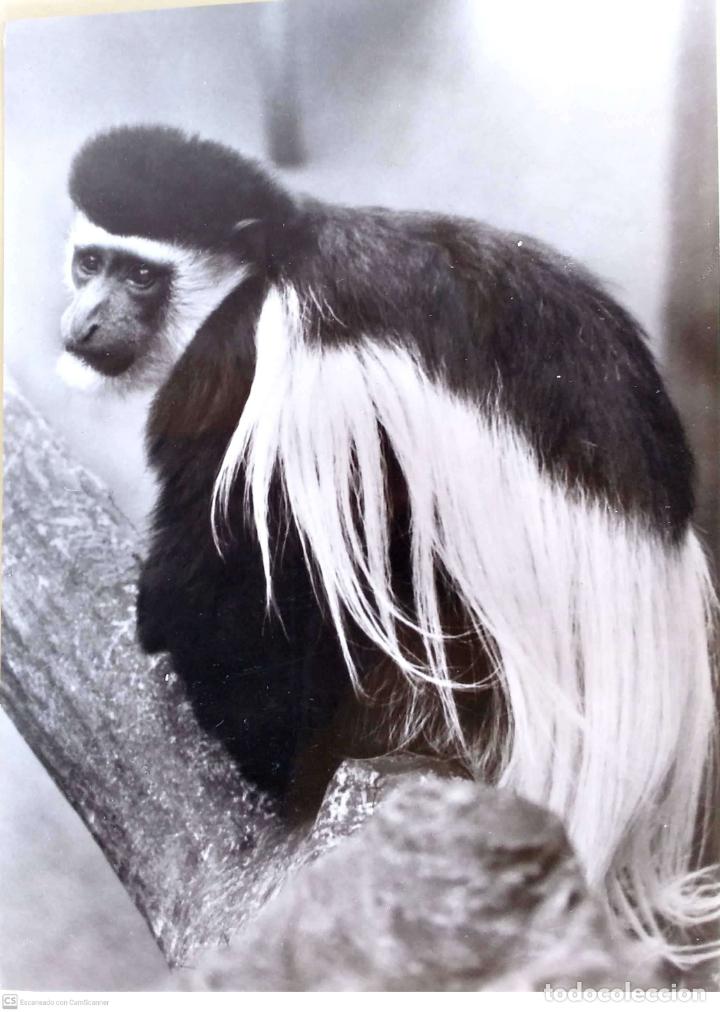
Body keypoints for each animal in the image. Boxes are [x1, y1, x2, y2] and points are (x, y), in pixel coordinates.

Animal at [59, 124, 718, 967]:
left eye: (143, 277)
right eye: (90, 263)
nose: (83, 324)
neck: (277, 255)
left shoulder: (243, 361)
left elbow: (218, 569)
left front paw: (158, 616)